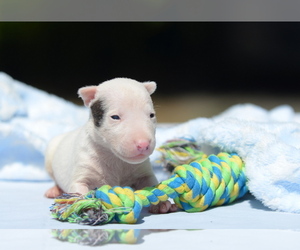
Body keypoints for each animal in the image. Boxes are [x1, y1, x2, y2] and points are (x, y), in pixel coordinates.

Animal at [44, 77, 176, 213]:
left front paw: (161, 203)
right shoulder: (83, 169)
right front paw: (85, 207)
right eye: (115, 117)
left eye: (151, 115)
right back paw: (54, 190)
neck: (114, 157)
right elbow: (79, 188)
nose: (143, 144)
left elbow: (151, 183)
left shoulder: (143, 171)